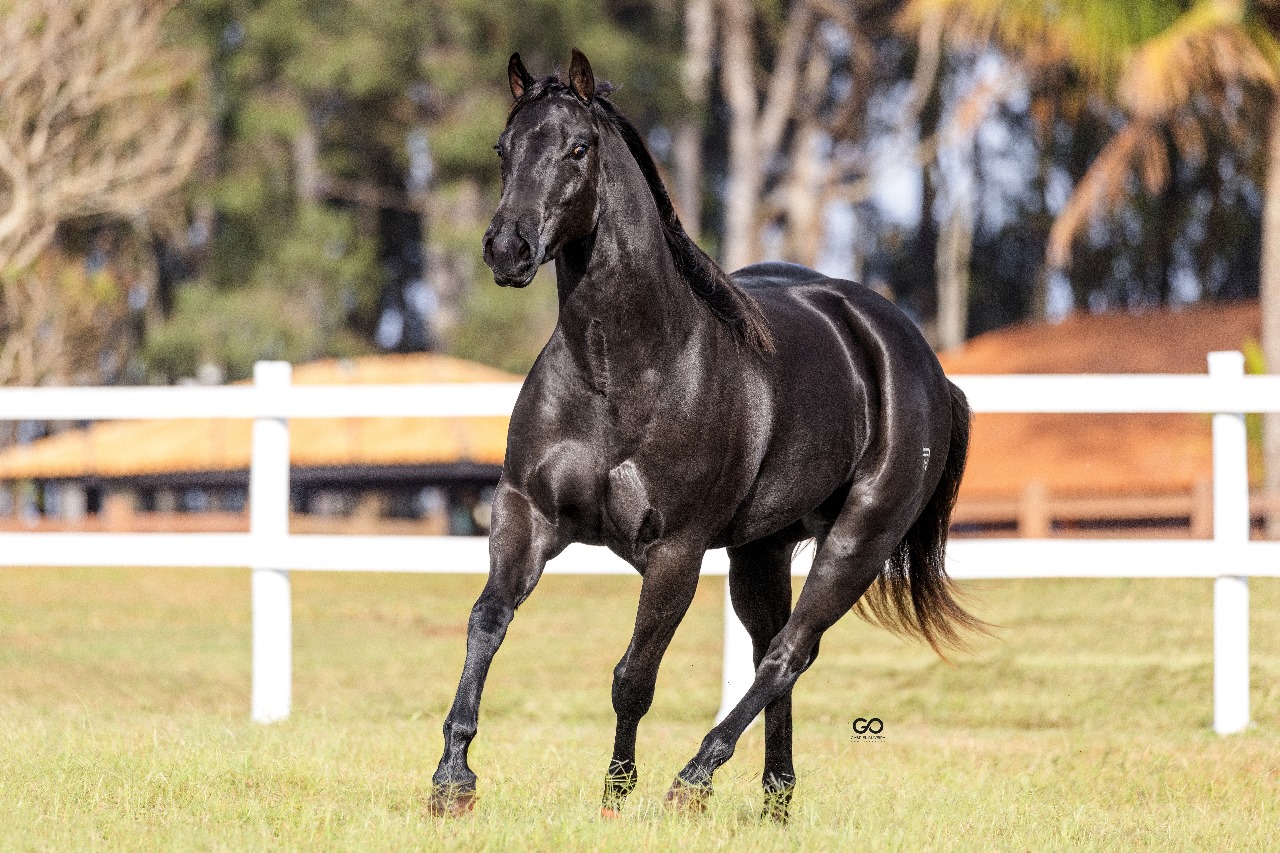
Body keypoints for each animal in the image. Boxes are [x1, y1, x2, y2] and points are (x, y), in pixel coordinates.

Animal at [430, 49, 977, 819]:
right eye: (503, 148)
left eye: (578, 147)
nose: (507, 248)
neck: (624, 369)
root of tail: (921, 362)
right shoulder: (525, 514)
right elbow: (488, 619)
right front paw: (453, 777)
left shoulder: (676, 554)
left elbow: (633, 676)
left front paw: (617, 792)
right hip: (760, 550)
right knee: (771, 652)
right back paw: (775, 798)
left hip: (857, 541)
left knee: (788, 652)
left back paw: (694, 779)